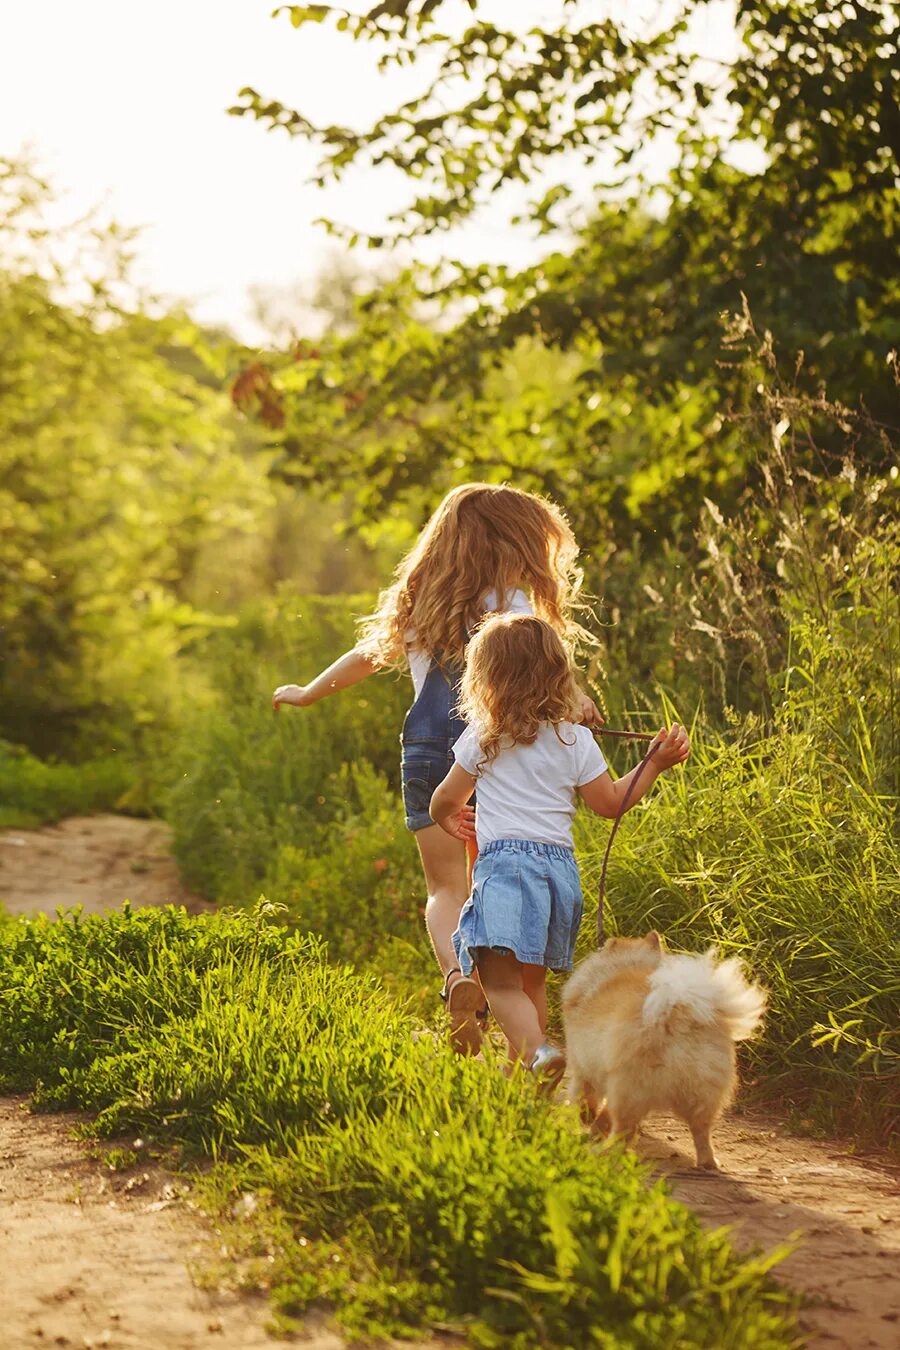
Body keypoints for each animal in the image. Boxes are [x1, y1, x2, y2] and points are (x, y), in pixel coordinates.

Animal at [564, 934, 766, 1166]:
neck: (626, 964)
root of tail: (680, 1018)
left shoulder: (582, 1068)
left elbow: (583, 1098)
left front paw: (582, 1120)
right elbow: (601, 1112)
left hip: (628, 1089)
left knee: (624, 1129)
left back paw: (605, 1152)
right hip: (704, 1093)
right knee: (702, 1131)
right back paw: (708, 1162)